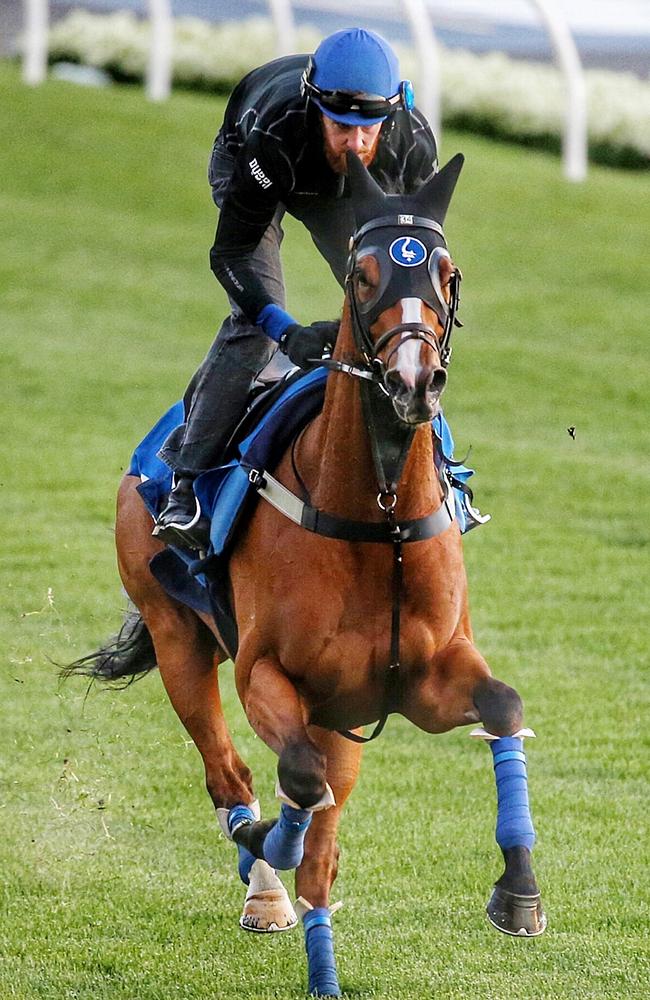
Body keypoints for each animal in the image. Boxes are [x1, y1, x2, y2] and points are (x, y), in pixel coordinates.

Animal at [67, 152, 540, 996]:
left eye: (447, 272)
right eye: (361, 274)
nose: (414, 379)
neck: (377, 518)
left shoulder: (421, 680)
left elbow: (504, 706)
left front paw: (518, 894)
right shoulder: (266, 675)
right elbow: (291, 777)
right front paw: (268, 845)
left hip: (340, 714)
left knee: (319, 841)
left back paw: (320, 960)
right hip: (179, 638)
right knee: (233, 776)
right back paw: (265, 886)